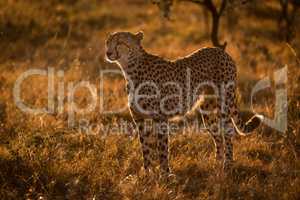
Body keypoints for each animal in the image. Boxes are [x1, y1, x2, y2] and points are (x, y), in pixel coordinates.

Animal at [105, 30, 262, 173]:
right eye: (108, 42)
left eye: (120, 42)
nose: (108, 53)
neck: (130, 69)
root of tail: (220, 51)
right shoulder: (140, 119)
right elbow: (145, 149)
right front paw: (147, 175)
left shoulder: (160, 118)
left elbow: (162, 149)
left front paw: (165, 175)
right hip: (207, 111)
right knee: (218, 136)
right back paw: (216, 164)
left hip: (224, 104)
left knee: (228, 132)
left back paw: (227, 165)